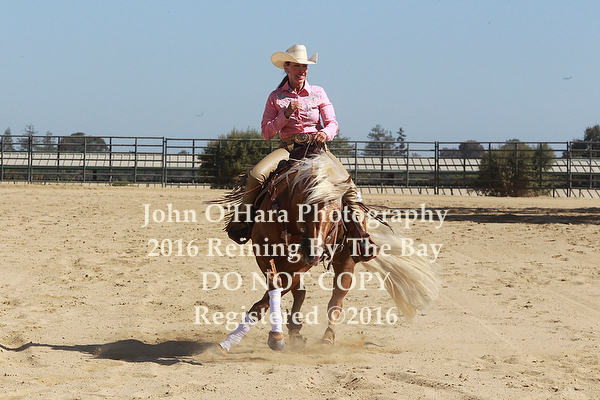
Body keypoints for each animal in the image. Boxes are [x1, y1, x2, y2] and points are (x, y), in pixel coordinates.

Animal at [213, 147, 441, 353]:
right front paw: (236, 340)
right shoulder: (263, 252)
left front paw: (274, 337)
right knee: (298, 291)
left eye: (337, 215)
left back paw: (326, 338)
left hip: (345, 261)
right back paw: (295, 331)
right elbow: (274, 288)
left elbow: (272, 296)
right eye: (305, 207)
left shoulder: (301, 263)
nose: (314, 252)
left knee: (335, 301)